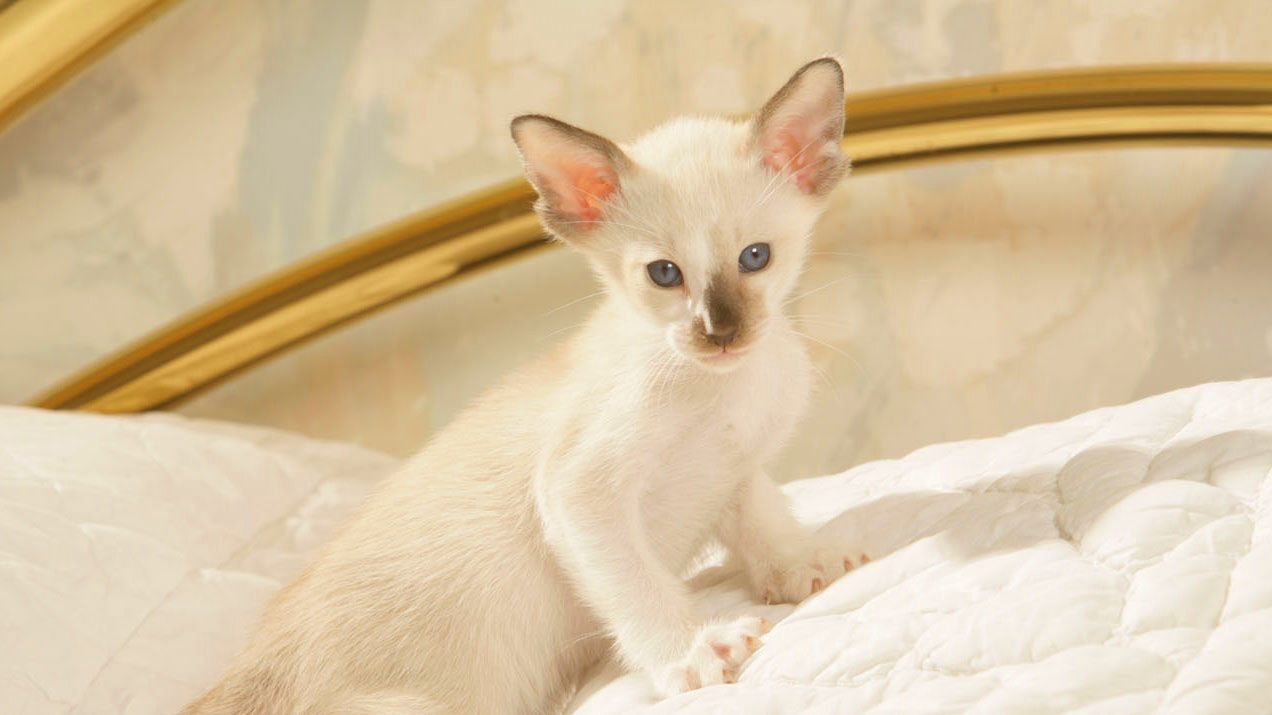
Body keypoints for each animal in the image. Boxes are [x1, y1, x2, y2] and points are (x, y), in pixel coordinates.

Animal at [185, 56, 864, 712]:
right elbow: (638, 587)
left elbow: (764, 522)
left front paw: (803, 568)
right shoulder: (580, 494)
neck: (724, 384)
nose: (720, 333)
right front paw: (690, 655)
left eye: (756, 258)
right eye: (665, 274)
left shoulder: (735, 469)